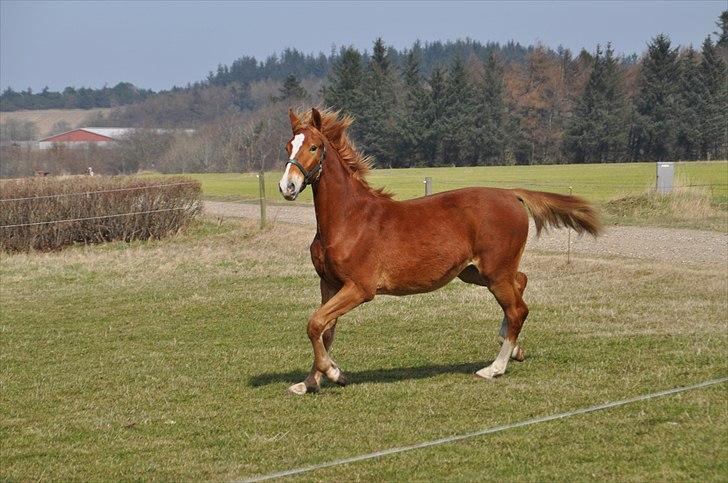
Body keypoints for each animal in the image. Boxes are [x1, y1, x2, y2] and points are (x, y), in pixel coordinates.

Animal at [276, 108, 600, 396]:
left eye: (314, 147)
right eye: (288, 146)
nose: (287, 186)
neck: (349, 219)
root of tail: (512, 195)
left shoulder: (359, 288)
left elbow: (315, 323)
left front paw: (334, 374)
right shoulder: (329, 284)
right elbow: (324, 330)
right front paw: (309, 383)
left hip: (495, 272)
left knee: (518, 309)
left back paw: (494, 368)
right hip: (476, 272)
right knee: (521, 284)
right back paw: (514, 350)